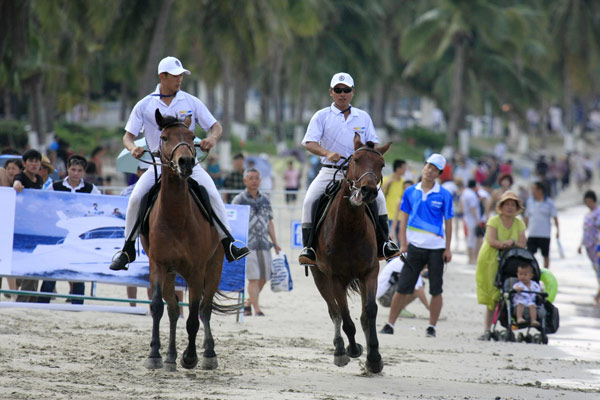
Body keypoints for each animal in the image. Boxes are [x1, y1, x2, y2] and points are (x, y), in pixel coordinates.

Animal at [142, 110, 226, 372]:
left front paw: (190, 357)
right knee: (172, 308)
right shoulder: (158, 265)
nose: (186, 162)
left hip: (214, 267)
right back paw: (169, 355)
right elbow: (158, 307)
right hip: (170, 273)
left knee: (205, 309)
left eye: (191, 137)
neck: (176, 217)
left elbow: (193, 317)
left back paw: (209, 353)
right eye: (165, 137)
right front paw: (155, 354)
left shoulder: (197, 271)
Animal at [310, 135, 390, 376]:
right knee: (334, 311)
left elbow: (369, 312)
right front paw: (353, 350)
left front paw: (374, 358)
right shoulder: (335, 278)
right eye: (355, 159)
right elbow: (345, 317)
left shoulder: (369, 272)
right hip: (319, 276)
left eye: (382, 165)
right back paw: (339, 350)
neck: (350, 229)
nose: (368, 191)